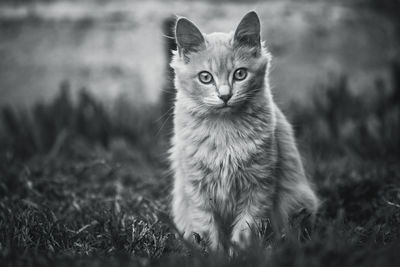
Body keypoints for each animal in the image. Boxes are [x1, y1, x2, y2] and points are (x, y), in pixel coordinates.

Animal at [169, 11, 318, 253]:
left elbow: (246, 229)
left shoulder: (259, 186)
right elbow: (206, 228)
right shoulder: (197, 189)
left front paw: (239, 254)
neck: (225, 130)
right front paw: (214, 255)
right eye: (205, 77)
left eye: (240, 74)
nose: (225, 96)